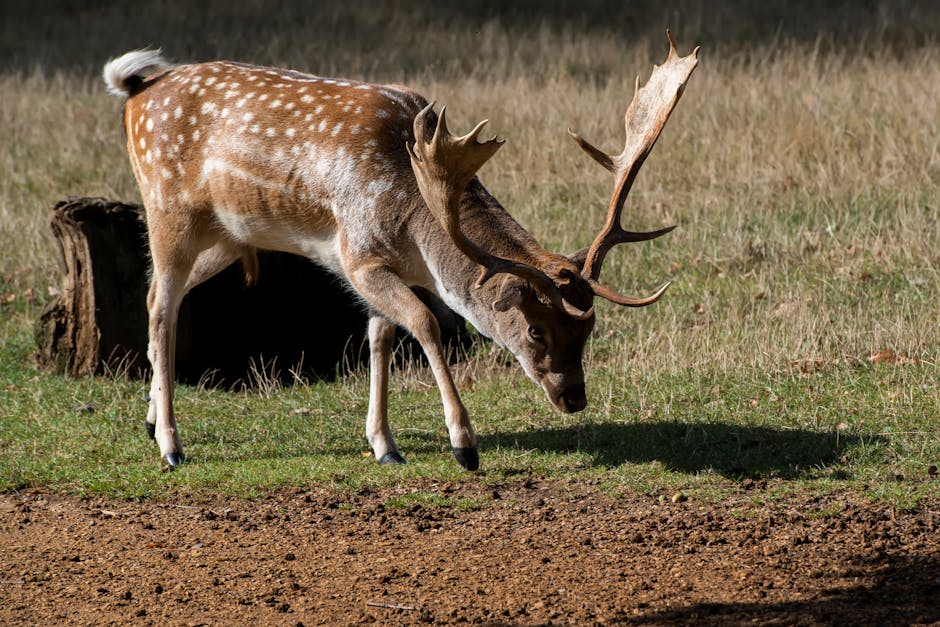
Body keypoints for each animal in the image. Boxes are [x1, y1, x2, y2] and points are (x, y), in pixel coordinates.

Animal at [104, 31, 696, 468]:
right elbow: (425, 324)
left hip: (228, 236)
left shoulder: (389, 267)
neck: (417, 224)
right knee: (160, 304)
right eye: (535, 330)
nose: (574, 397)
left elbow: (382, 337)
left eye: (589, 327)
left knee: (161, 295)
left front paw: (385, 446)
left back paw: (152, 419)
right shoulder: (357, 255)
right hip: (167, 209)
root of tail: (135, 94)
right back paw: (172, 446)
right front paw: (464, 444)